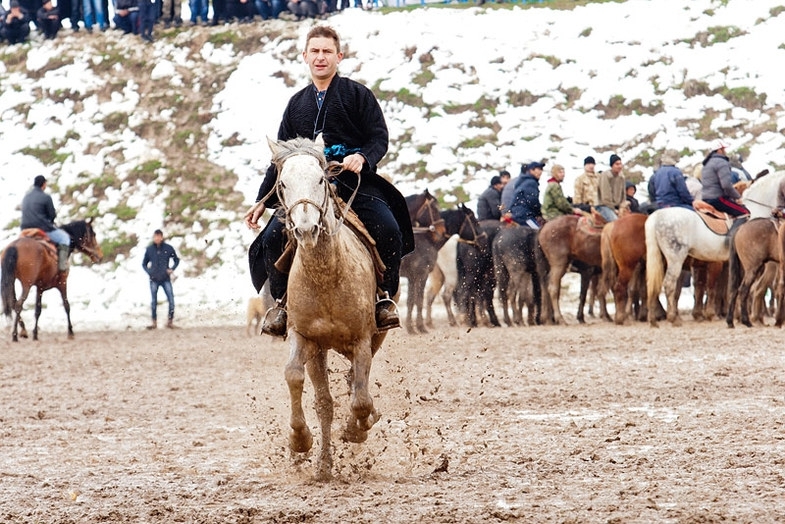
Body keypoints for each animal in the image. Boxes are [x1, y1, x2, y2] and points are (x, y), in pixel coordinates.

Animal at [268, 134, 390, 478]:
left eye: (321, 179)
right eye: (282, 183)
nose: (306, 229)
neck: (326, 276)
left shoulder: (362, 339)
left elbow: (360, 400)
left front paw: (356, 430)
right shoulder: (305, 338)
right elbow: (298, 380)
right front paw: (300, 441)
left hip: (375, 337)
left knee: (356, 386)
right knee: (329, 398)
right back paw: (323, 464)